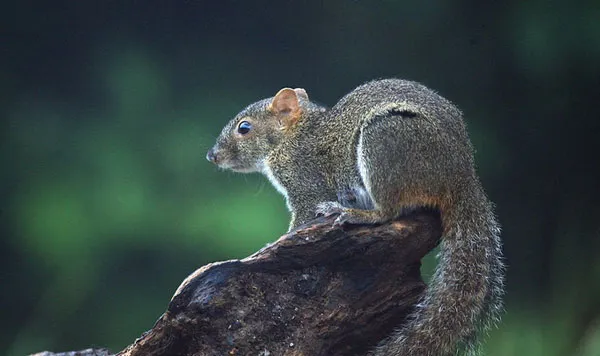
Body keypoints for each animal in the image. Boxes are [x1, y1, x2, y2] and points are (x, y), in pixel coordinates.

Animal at [209, 79, 504, 354]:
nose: (212, 156)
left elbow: (300, 220)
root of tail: (462, 176)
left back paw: (352, 213)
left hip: (384, 141)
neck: (294, 136)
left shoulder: (307, 187)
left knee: (389, 211)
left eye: (244, 128)